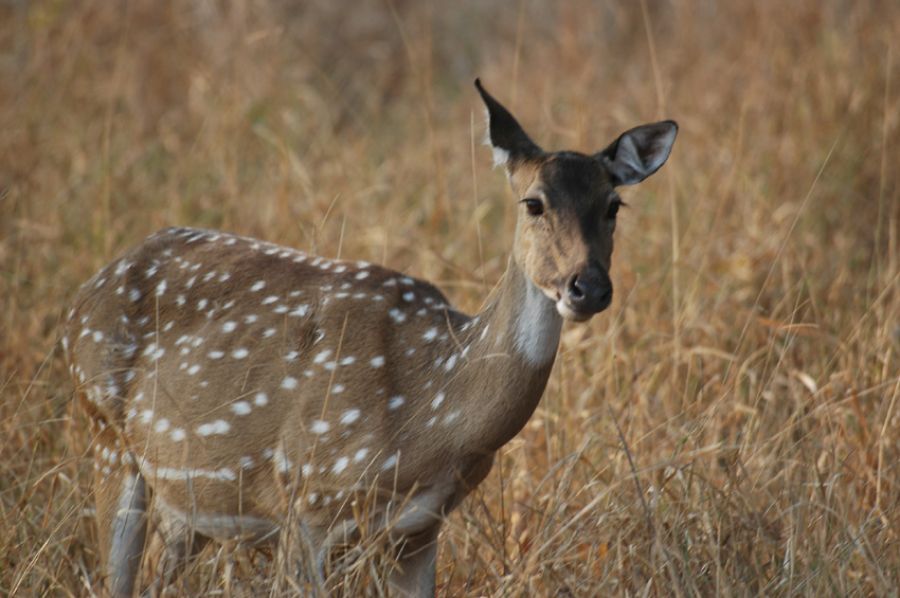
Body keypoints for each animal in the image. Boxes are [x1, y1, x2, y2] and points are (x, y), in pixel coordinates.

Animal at [63, 81, 676, 598]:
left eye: (613, 204)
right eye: (533, 203)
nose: (588, 287)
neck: (431, 417)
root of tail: (83, 296)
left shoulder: (419, 530)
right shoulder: (305, 501)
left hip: (183, 505)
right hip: (106, 437)